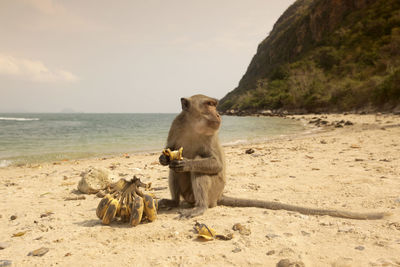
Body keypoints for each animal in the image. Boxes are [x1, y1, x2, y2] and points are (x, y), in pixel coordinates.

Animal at [158, 95, 390, 221]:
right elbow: (170, 151)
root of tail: (218, 197)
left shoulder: (211, 135)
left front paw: (186, 162)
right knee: (173, 172)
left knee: (201, 170)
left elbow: (214, 164)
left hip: (214, 190)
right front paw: (164, 159)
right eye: (208, 104)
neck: (193, 125)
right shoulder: (176, 124)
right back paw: (173, 201)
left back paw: (200, 207)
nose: (218, 114)